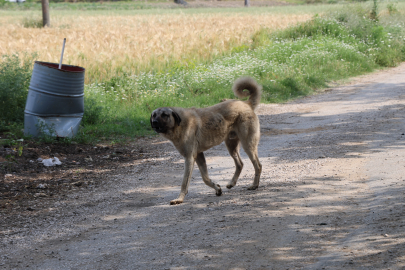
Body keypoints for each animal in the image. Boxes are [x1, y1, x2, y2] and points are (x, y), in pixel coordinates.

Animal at [149, 76, 262, 205]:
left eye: (164, 115)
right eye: (154, 115)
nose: (154, 122)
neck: (179, 124)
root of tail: (246, 104)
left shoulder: (189, 158)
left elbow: (184, 182)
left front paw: (179, 199)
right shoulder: (198, 155)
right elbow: (205, 178)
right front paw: (217, 188)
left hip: (248, 145)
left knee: (258, 165)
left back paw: (254, 185)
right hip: (231, 146)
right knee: (240, 164)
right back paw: (232, 183)